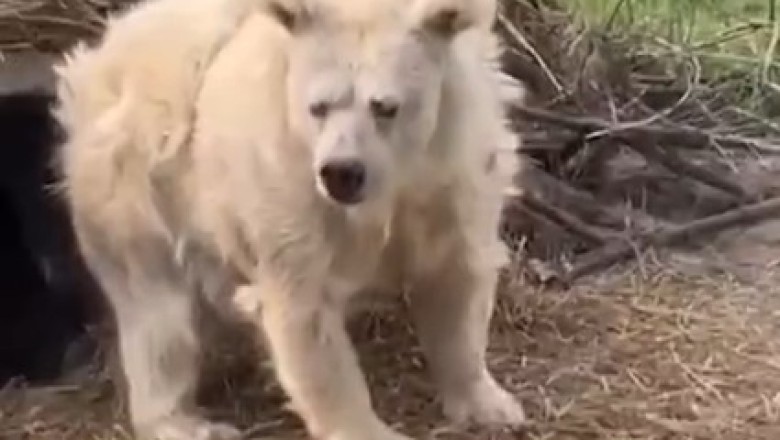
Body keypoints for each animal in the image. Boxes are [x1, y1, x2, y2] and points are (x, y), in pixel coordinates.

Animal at [52, 0, 526, 438]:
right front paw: (368, 428)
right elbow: (304, 313)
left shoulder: (457, 179)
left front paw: (492, 405)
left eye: (385, 106)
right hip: (137, 183)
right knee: (158, 314)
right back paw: (191, 423)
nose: (341, 172)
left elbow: (457, 280)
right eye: (318, 106)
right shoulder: (289, 192)